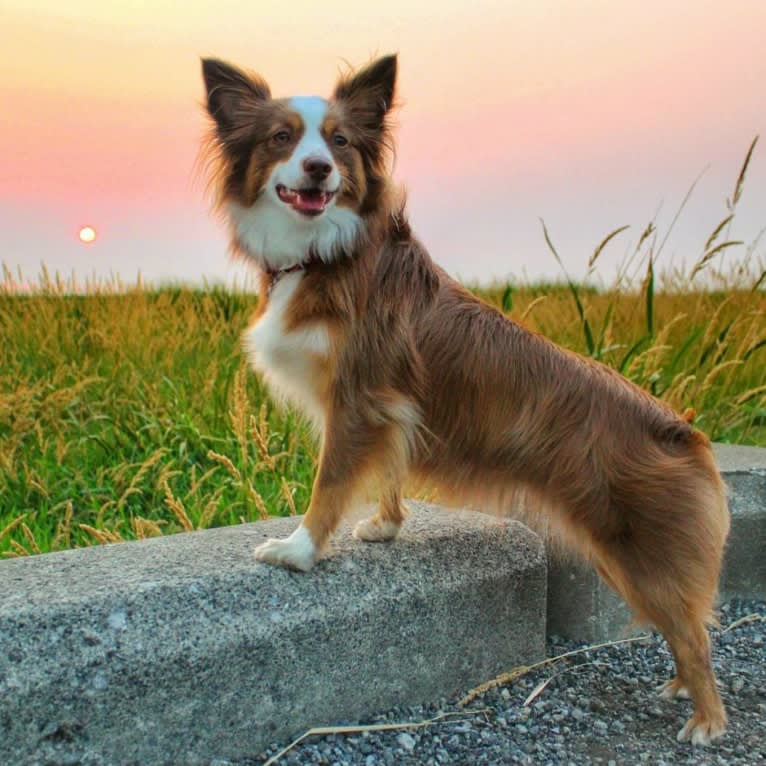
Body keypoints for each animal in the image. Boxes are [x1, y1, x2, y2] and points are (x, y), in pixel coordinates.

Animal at [202, 55, 732, 752]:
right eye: (282, 138)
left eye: (339, 143)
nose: (318, 168)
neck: (329, 249)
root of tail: (682, 432)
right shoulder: (386, 409)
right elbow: (387, 468)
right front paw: (385, 526)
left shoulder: (359, 398)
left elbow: (331, 483)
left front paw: (298, 551)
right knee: (680, 630)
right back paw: (678, 690)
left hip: (642, 558)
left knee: (695, 636)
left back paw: (707, 720)